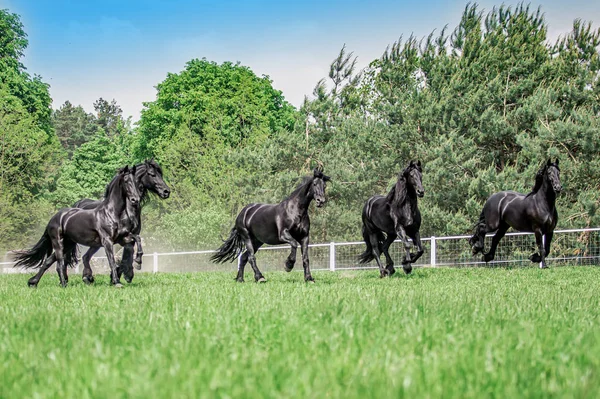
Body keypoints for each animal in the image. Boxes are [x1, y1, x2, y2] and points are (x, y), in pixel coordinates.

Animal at [13, 166, 141, 288]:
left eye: (136, 181)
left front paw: (138, 261)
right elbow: (111, 261)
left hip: (68, 244)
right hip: (58, 243)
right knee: (60, 263)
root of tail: (55, 217)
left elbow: (137, 238)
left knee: (48, 261)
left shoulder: (121, 239)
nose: (135, 200)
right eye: (126, 181)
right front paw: (117, 282)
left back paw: (33, 282)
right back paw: (63, 284)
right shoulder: (107, 241)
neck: (111, 213)